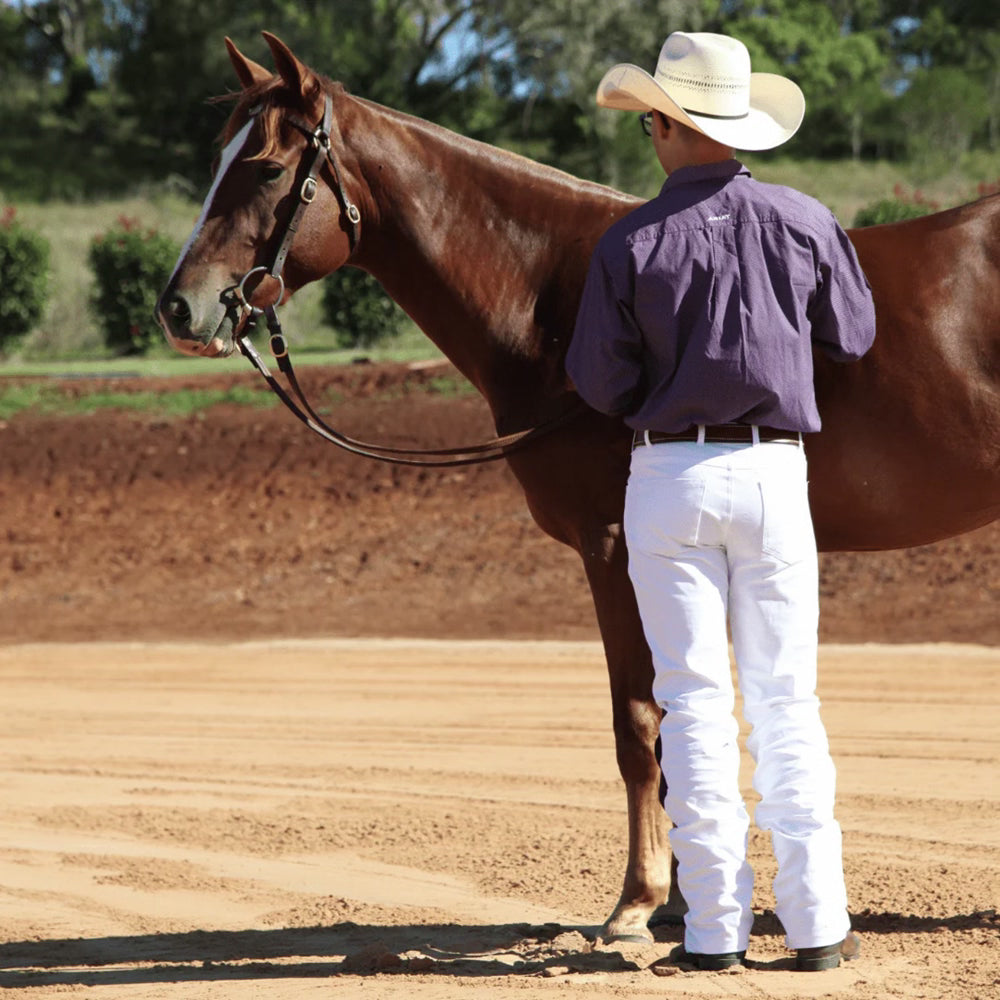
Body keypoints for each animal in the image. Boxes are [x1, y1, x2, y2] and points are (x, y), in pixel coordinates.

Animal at [158, 29, 1000, 936]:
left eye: (267, 169)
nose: (178, 308)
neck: (552, 295)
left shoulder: (615, 548)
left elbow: (640, 720)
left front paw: (639, 901)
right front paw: (680, 903)